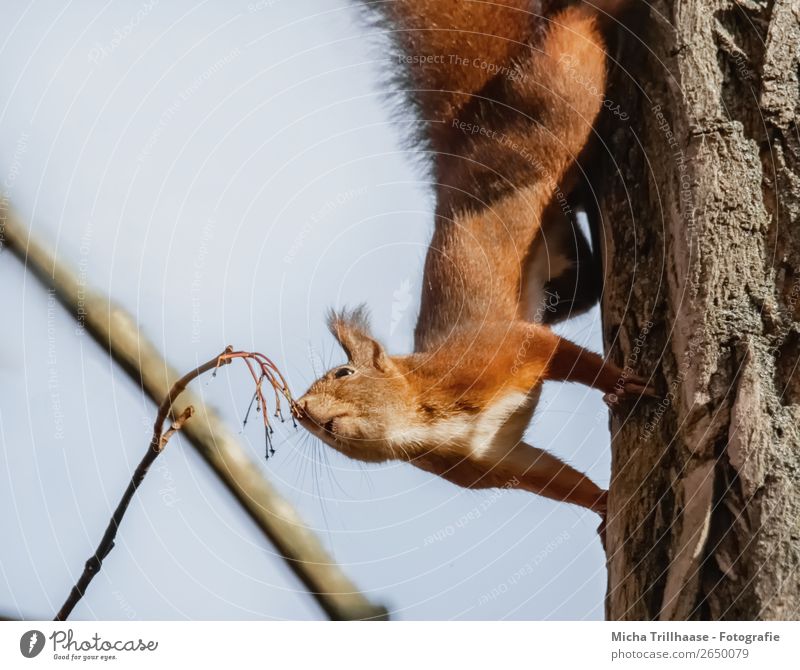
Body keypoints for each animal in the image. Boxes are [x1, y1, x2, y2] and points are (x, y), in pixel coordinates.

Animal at [296, 0, 652, 532]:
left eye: (342, 373)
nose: (301, 410)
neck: (424, 418)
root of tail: (459, 154)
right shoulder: (490, 461)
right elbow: (552, 478)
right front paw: (604, 505)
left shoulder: (495, 353)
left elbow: (548, 349)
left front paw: (622, 383)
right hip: (564, 278)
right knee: (585, 281)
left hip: (560, 105)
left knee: (577, 29)